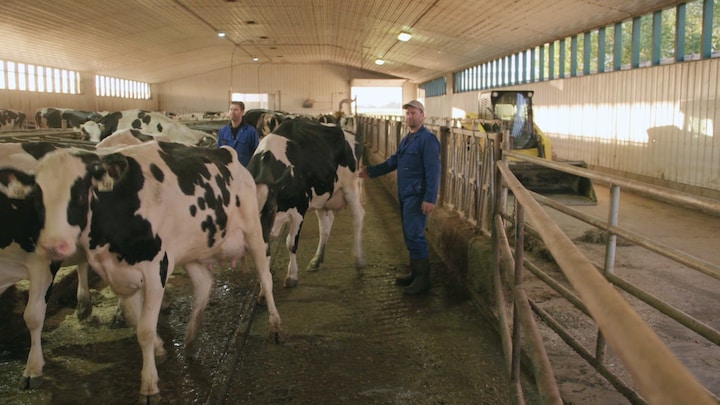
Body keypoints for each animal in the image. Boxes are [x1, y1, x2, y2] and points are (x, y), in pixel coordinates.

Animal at [31, 140, 284, 400]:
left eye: (80, 194)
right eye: (37, 197)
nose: (52, 245)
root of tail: (224, 152)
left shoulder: (155, 270)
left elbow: (144, 330)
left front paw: (149, 384)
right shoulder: (116, 273)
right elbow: (133, 317)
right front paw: (160, 348)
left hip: (254, 232)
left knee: (265, 277)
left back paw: (274, 325)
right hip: (190, 250)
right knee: (204, 283)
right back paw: (191, 338)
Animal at [248, 117, 366, 288]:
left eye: (270, 209)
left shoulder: (300, 209)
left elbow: (291, 243)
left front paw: (291, 275)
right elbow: (266, 248)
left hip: (350, 186)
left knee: (358, 217)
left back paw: (359, 261)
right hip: (322, 196)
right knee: (325, 225)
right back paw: (316, 260)